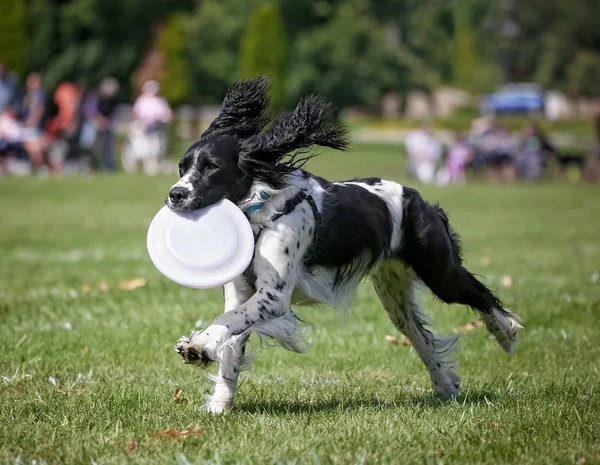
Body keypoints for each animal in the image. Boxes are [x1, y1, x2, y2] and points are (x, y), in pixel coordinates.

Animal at [168, 77, 520, 414]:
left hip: (440, 273)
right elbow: (231, 343)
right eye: (182, 166)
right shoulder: (242, 290)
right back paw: (446, 388)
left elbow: (228, 320)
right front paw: (219, 404)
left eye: (212, 167)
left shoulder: (273, 296)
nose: (175, 194)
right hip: (395, 299)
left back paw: (506, 332)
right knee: (423, 339)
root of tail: (418, 198)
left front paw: (198, 346)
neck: (258, 212)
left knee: (482, 296)